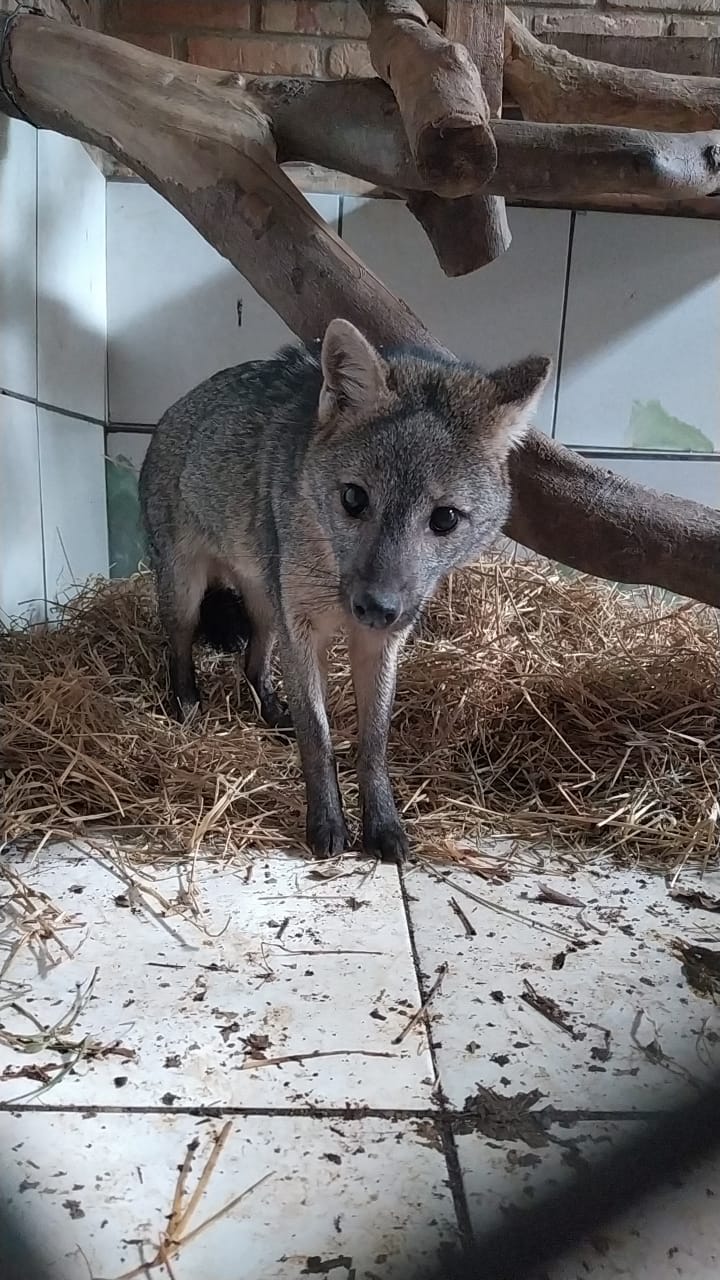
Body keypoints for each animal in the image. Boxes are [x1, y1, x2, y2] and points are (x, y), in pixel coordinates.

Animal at [137, 318, 545, 860]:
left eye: (444, 519)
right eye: (354, 498)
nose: (375, 608)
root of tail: (171, 411)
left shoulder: (380, 643)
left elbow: (373, 743)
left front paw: (384, 825)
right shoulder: (303, 631)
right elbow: (318, 737)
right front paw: (327, 823)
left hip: (266, 607)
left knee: (254, 662)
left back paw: (271, 710)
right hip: (188, 593)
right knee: (180, 649)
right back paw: (187, 705)